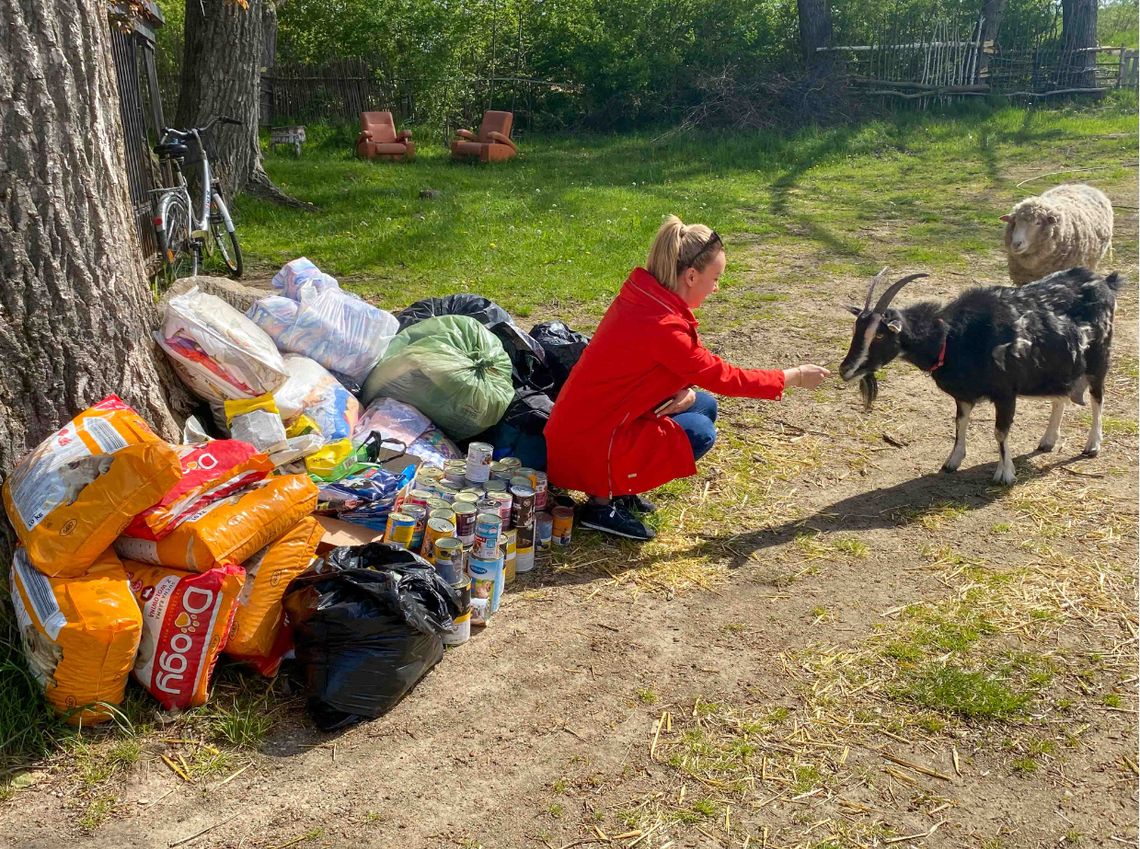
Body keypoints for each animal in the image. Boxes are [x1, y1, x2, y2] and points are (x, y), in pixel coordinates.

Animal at [839, 267, 1121, 487]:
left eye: (879, 335)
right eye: (856, 330)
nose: (845, 370)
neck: (952, 338)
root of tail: (1106, 282)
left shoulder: (1006, 393)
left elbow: (1000, 432)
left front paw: (1005, 474)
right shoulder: (964, 396)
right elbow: (959, 424)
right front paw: (952, 462)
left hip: (1098, 360)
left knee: (1098, 399)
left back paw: (1092, 445)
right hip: (1060, 366)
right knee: (1059, 398)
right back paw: (1048, 441)